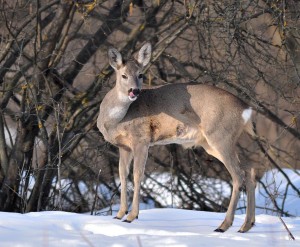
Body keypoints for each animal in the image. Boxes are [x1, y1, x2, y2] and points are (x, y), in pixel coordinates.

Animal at [97, 42, 256, 233]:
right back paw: (246, 225)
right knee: (249, 169)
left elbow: (137, 174)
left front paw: (131, 216)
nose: (134, 91)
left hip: (221, 136)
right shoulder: (124, 146)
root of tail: (247, 110)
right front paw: (119, 214)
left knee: (238, 174)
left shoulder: (141, 139)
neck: (115, 119)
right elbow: (122, 174)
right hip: (215, 143)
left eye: (140, 74)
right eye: (124, 75)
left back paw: (224, 225)